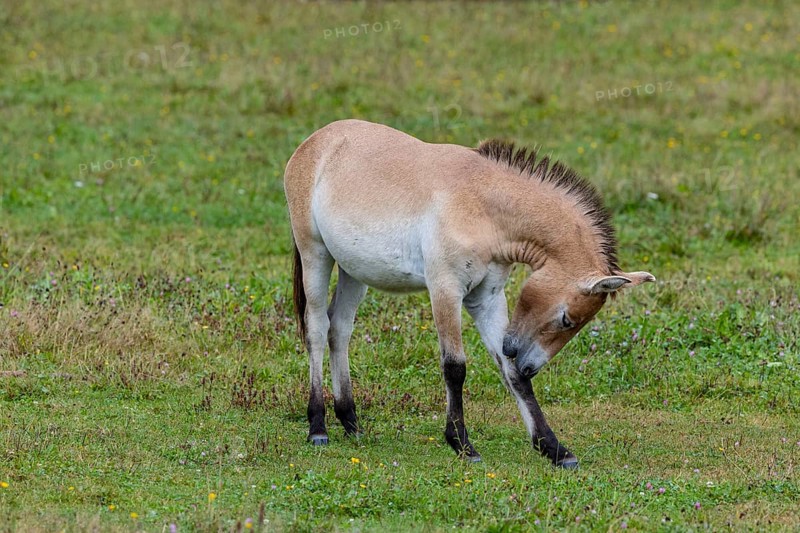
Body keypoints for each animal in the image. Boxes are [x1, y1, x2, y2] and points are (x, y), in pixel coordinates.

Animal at [284, 119, 654, 468]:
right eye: (566, 319)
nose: (531, 364)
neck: (484, 206)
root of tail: (313, 143)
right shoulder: (445, 290)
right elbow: (455, 367)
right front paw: (462, 444)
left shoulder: (487, 299)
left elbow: (511, 374)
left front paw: (554, 449)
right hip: (316, 255)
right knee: (317, 329)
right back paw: (318, 428)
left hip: (353, 271)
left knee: (339, 330)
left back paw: (351, 423)